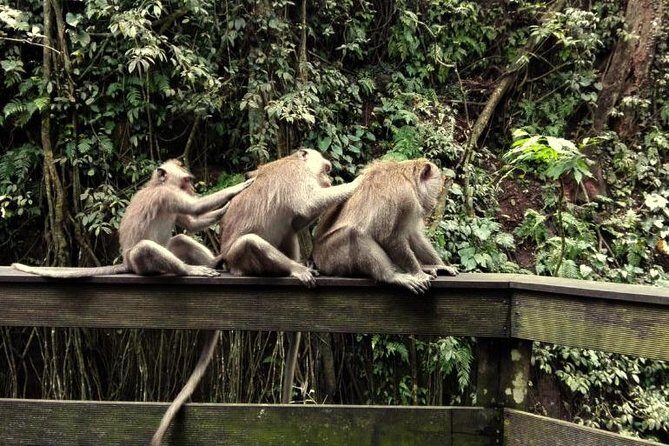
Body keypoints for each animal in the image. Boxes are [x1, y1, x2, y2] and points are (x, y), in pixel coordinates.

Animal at [12, 159, 252, 278]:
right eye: (186, 181)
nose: (192, 188)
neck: (157, 185)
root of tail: (126, 263)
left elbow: (191, 223)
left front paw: (226, 208)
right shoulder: (167, 195)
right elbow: (195, 208)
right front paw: (237, 188)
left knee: (179, 241)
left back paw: (213, 261)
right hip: (138, 263)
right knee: (145, 248)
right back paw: (190, 269)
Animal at [313, 158, 458, 295]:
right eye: (437, 190)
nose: (434, 204)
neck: (409, 179)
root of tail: (317, 260)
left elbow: (414, 235)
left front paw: (439, 265)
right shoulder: (405, 197)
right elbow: (389, 238)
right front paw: (419, 273)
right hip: (331, 260)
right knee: (353, 234)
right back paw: (390, 276)